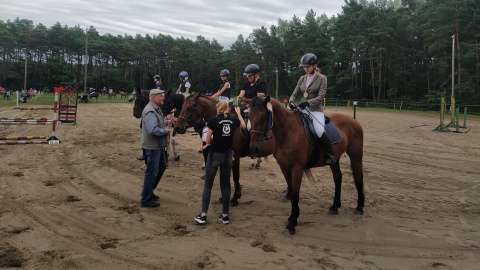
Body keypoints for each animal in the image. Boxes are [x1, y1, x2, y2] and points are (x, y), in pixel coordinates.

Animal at [248, 96, 364, 234]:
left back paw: (360, 207)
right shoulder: (284, 167)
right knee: (337, 178)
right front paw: (293, 218)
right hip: (335, 159)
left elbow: (295, 194)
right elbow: (290, 188)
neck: (288, 131)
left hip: (356, 156)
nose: (254, 148)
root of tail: (353, 120)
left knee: (358, 178)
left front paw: (292, 223)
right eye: (248, 116)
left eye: (262, 117)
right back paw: (334, 206)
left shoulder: (297, 168)